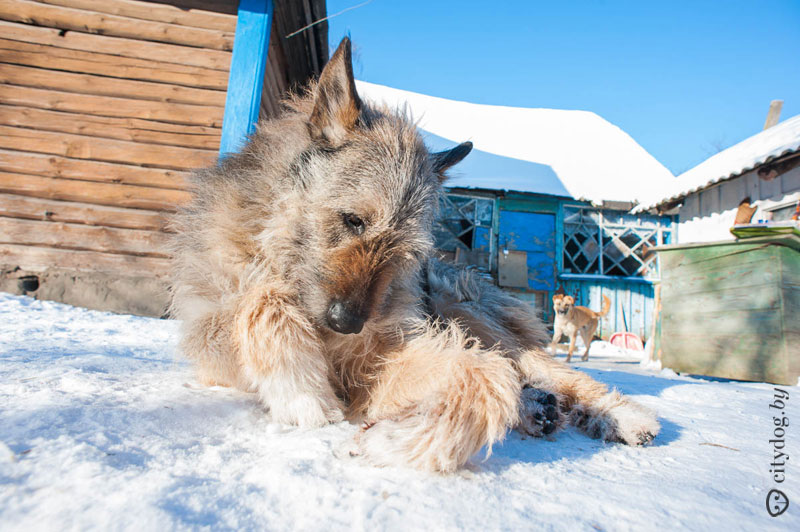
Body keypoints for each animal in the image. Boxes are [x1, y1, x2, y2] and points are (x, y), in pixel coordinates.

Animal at [167, 37, 656, 472]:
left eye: (405, 249)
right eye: (353, 220)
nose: (347, 322)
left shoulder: (381, 353)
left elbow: (482, 377)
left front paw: (392, 439)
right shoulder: (210, 334)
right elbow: (256, 300)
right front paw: (300, 387)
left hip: (464, 311)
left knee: (545, 371)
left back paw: (620, 415)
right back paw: (537, 407)